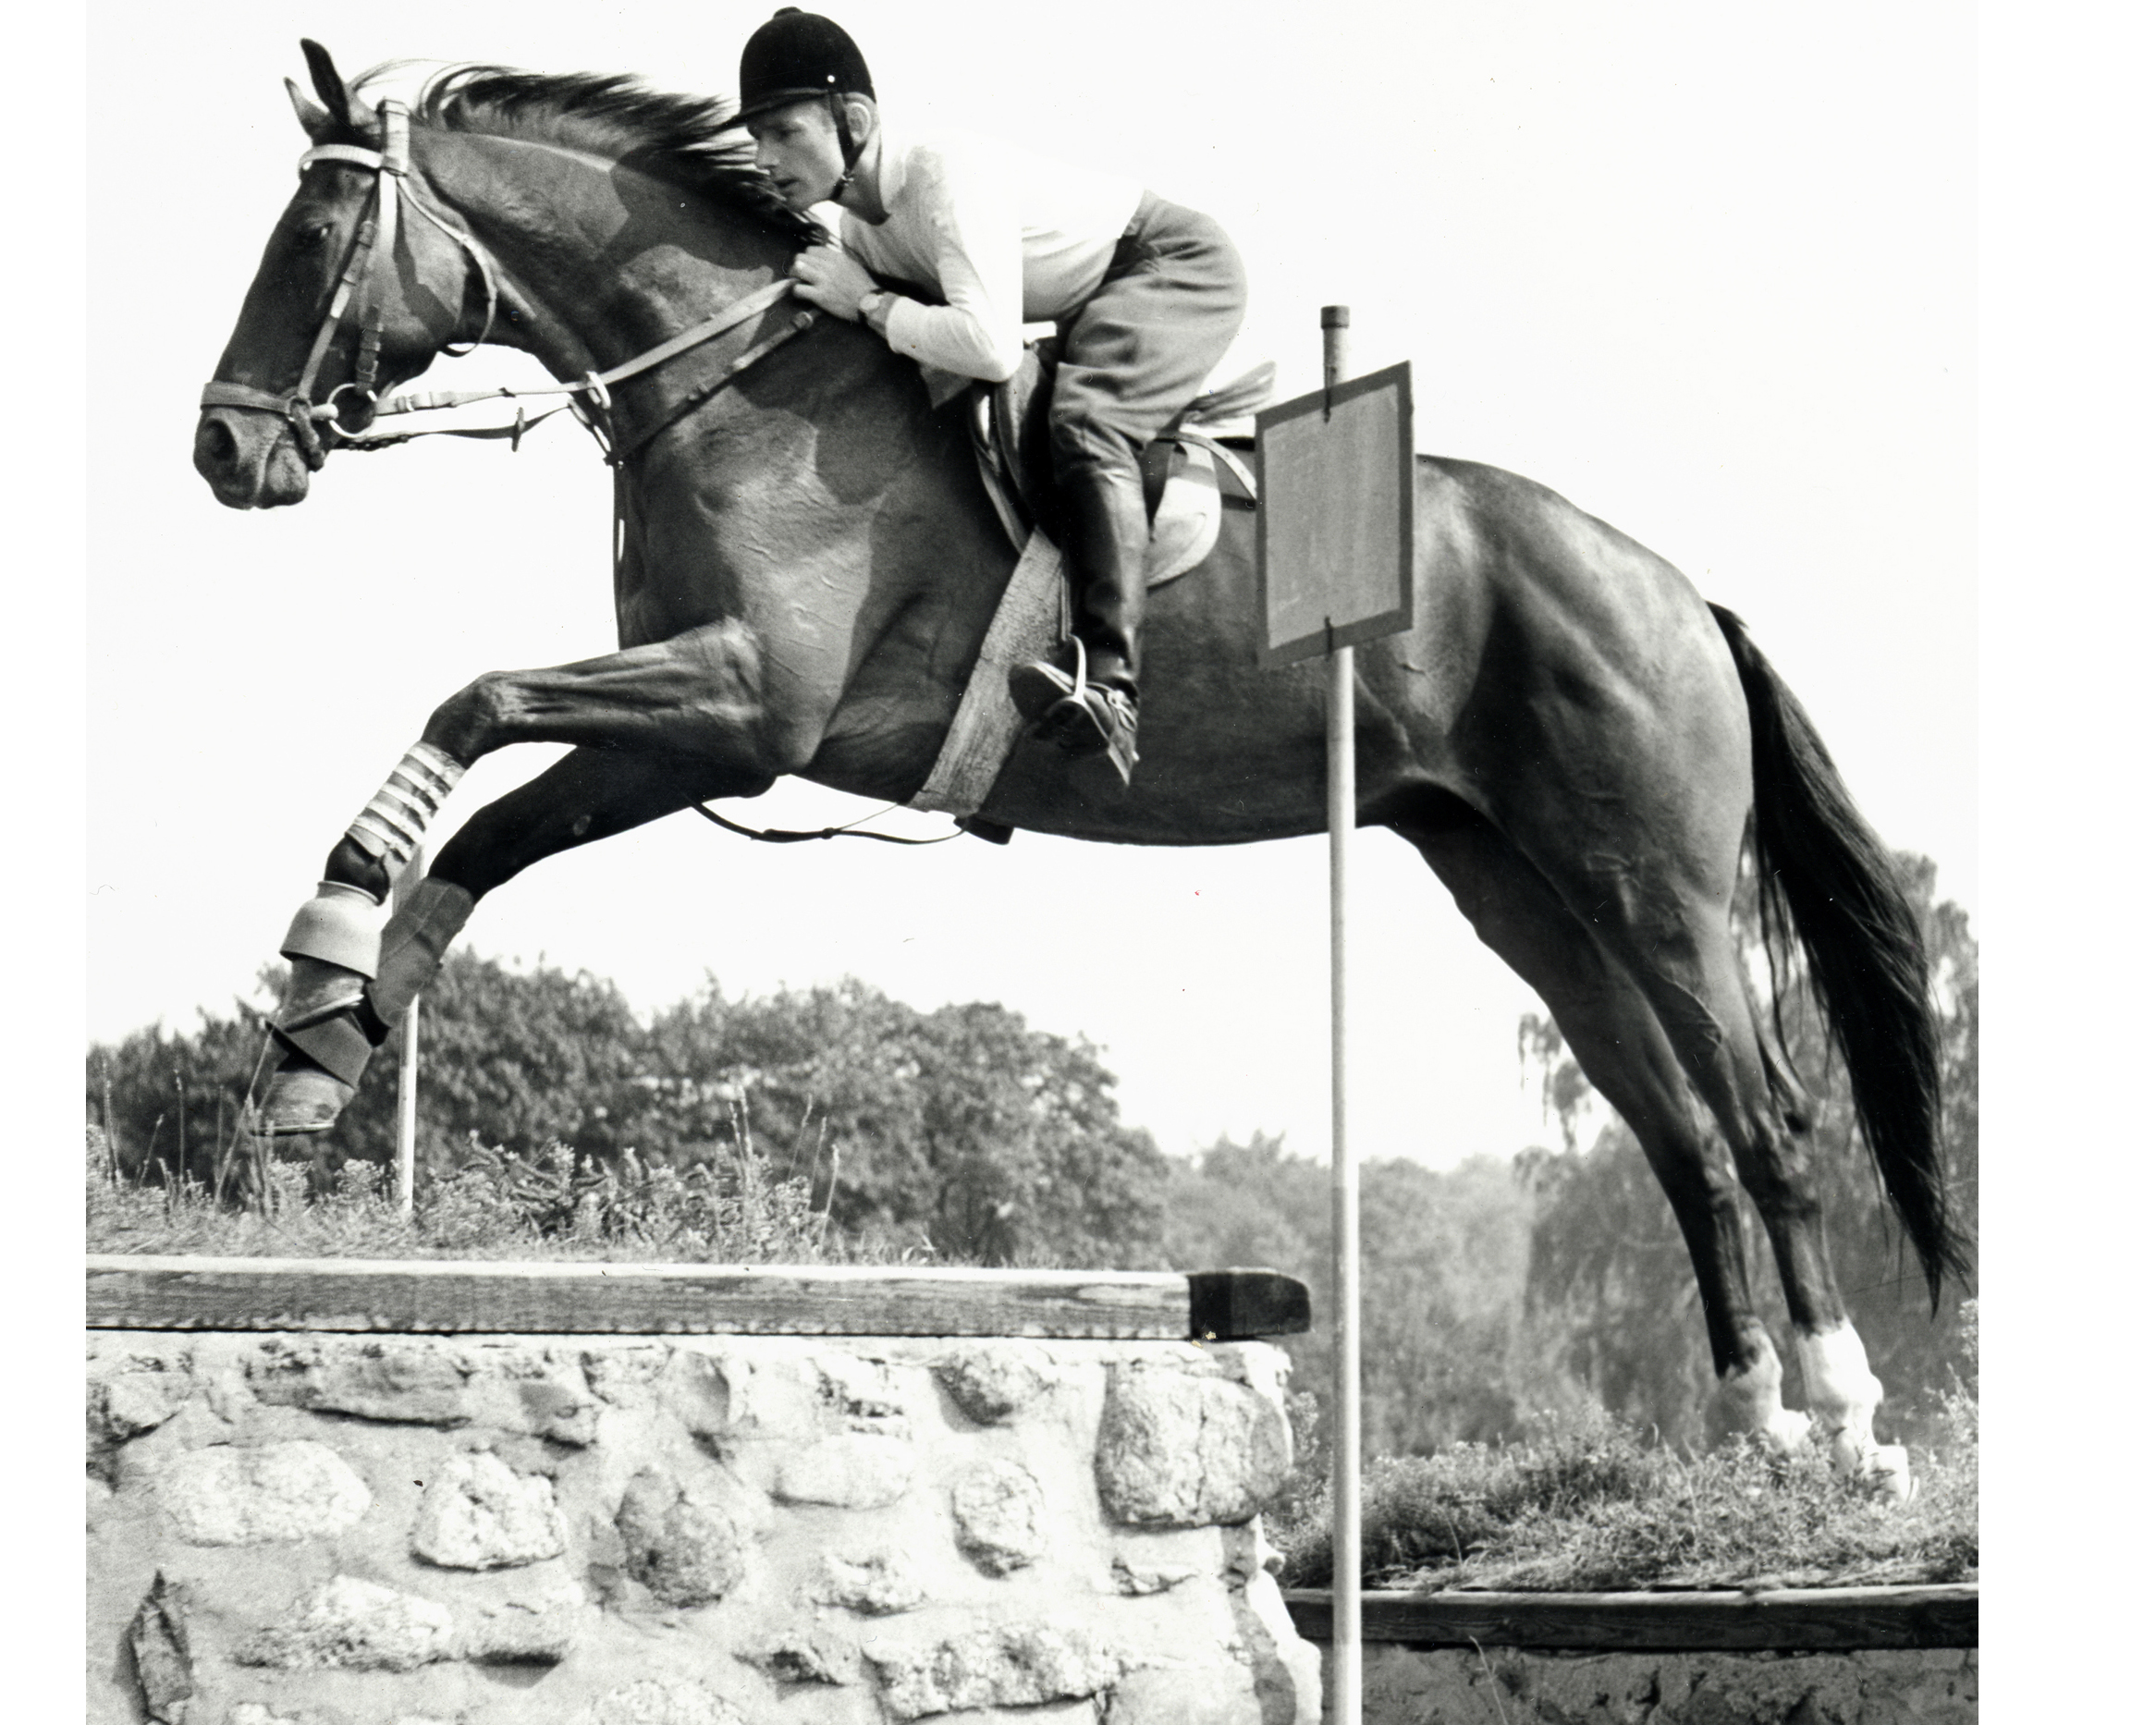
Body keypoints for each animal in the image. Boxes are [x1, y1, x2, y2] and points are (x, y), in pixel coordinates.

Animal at [202, 43, 1975, 1492]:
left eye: (309, 242)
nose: (225, 450)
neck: (730, 383)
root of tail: (1675, 589)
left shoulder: (746, 704)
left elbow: (476, 702)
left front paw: (324, 956)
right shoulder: (699, 734)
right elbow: (489, 828)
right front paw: (316, 1060)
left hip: (1653, 878)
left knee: (1767, 1117)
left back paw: (1848, 1422)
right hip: (1518, 890)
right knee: (1682, 1137)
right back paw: (1749, 1425)